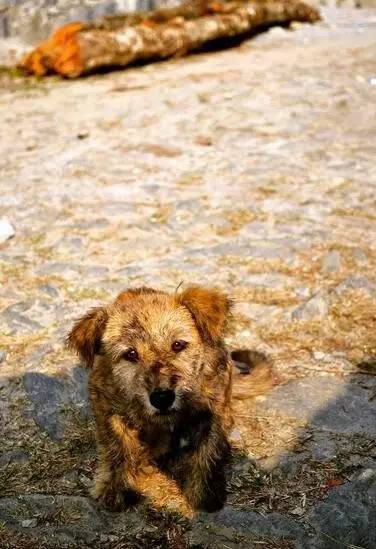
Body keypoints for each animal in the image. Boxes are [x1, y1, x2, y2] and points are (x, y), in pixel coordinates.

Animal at [67, 284, 274, 512]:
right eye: (130, 354)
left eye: (178, 345)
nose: (162, 398)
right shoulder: (105, 405)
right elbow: (117, 446)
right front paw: (116, 487)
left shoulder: (215, 408)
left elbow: (207, 450)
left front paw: (203, 492)